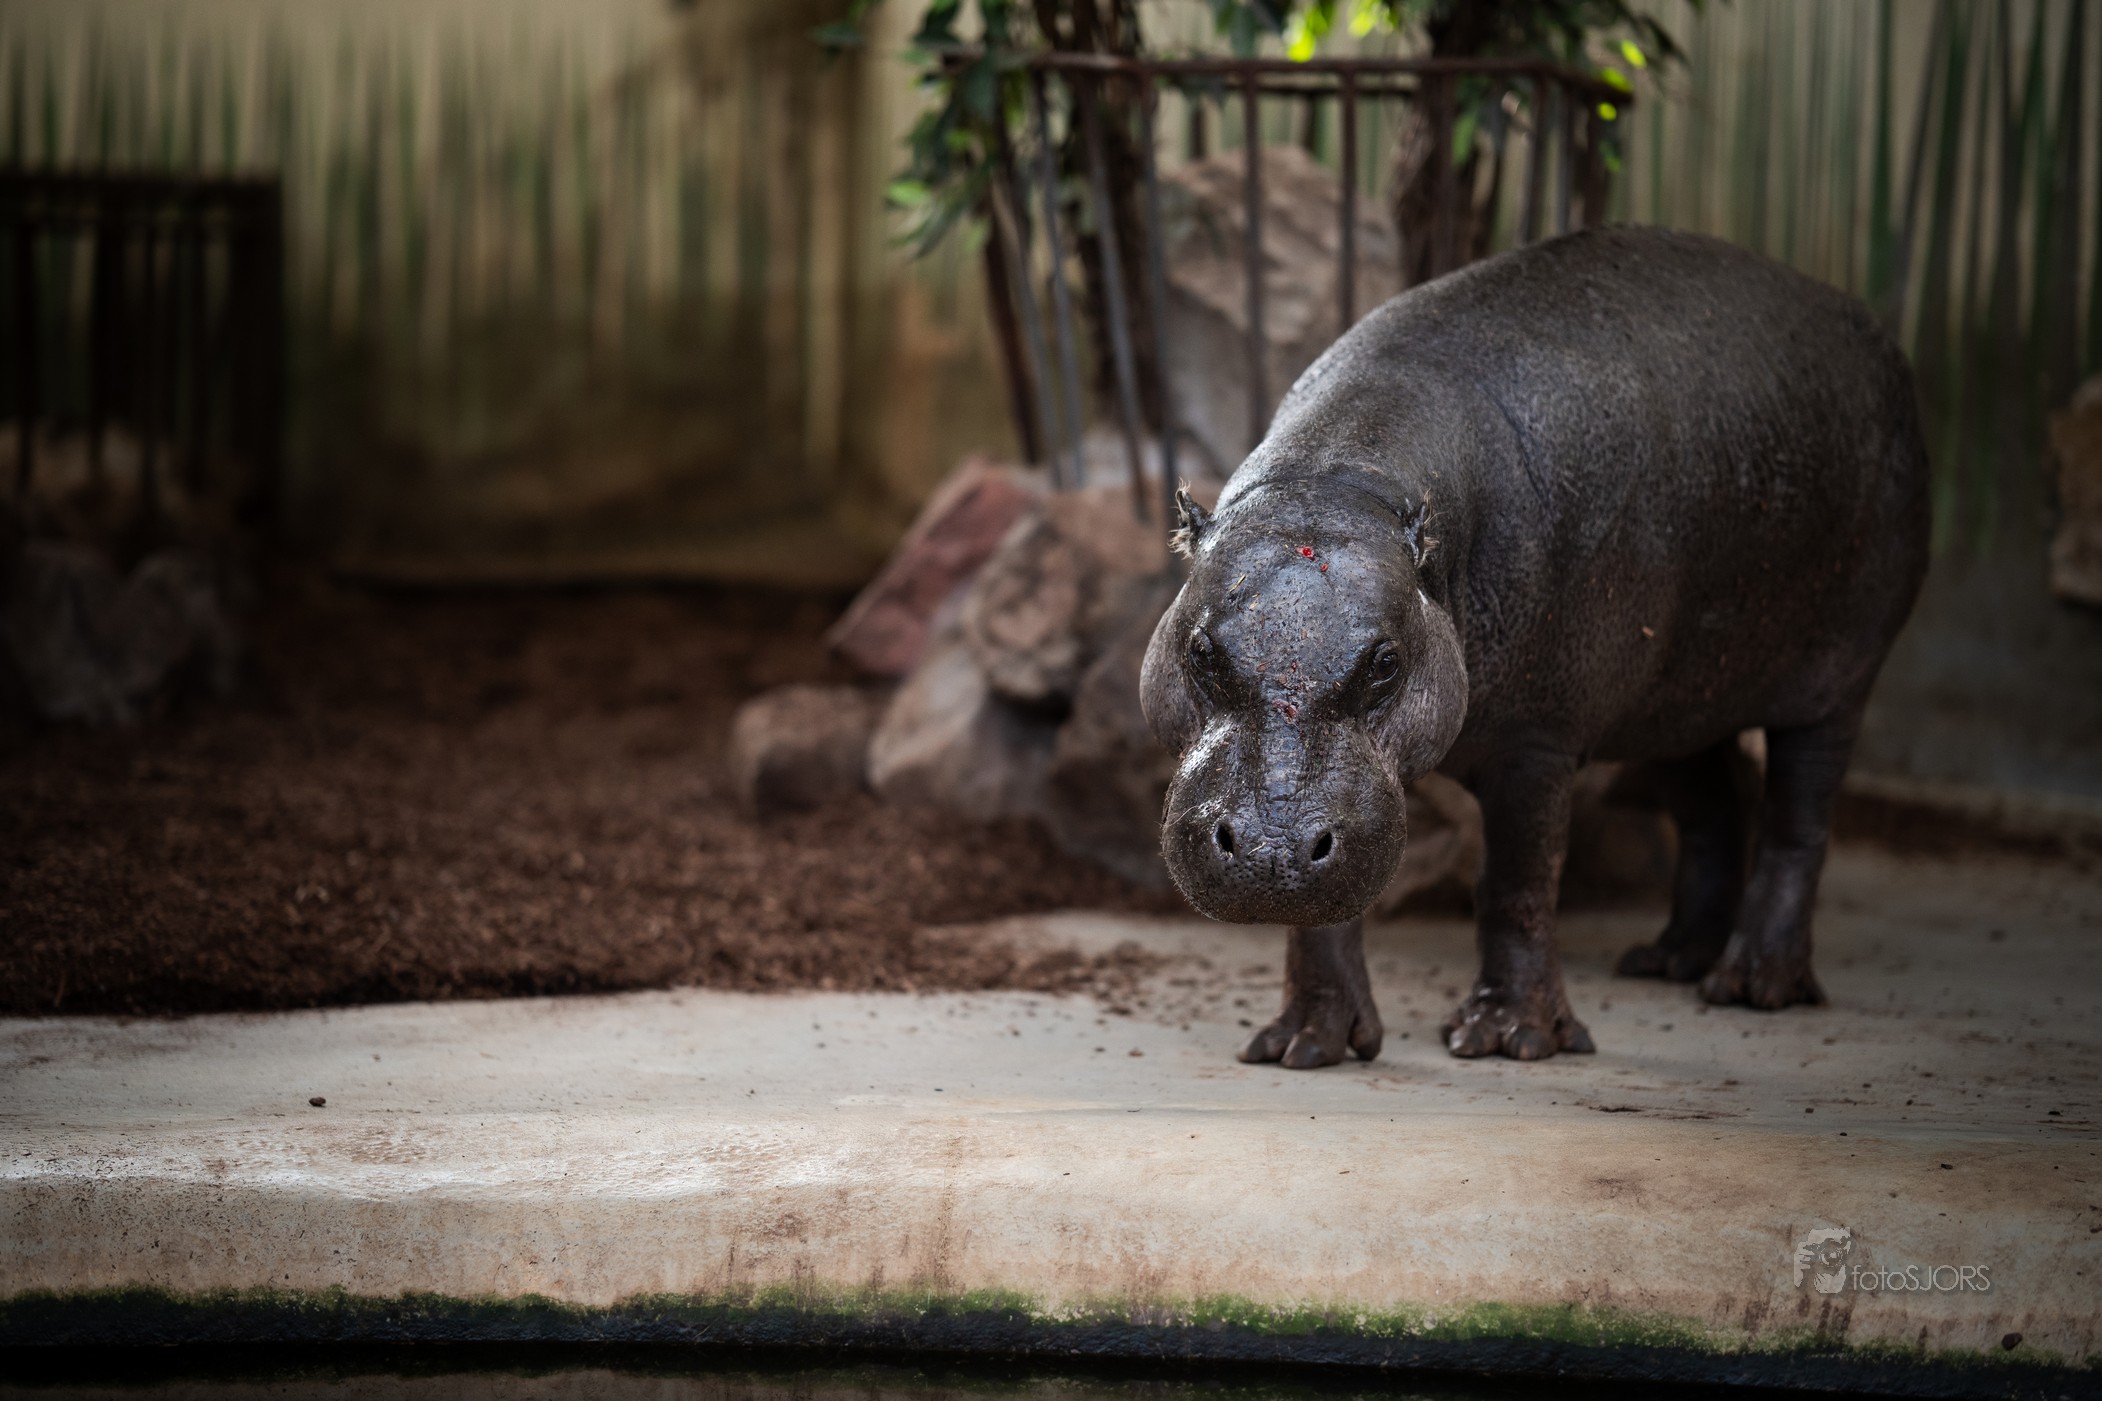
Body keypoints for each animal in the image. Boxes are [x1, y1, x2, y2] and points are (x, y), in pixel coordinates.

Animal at [1141, 226, 1928, 1065]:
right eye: (1199, 650)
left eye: (1386, 662)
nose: (1269, 848)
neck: (1338, 482)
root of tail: (1877, 335)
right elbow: (1327, 908)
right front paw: (1305, 1045)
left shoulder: (1537, 739)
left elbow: (1519, 882)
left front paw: (1509, 1036)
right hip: (1672, 696)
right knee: (1710, 806)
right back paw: (1670, 960)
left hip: (1836, 677)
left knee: (1797, 818)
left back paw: (1752, 986)